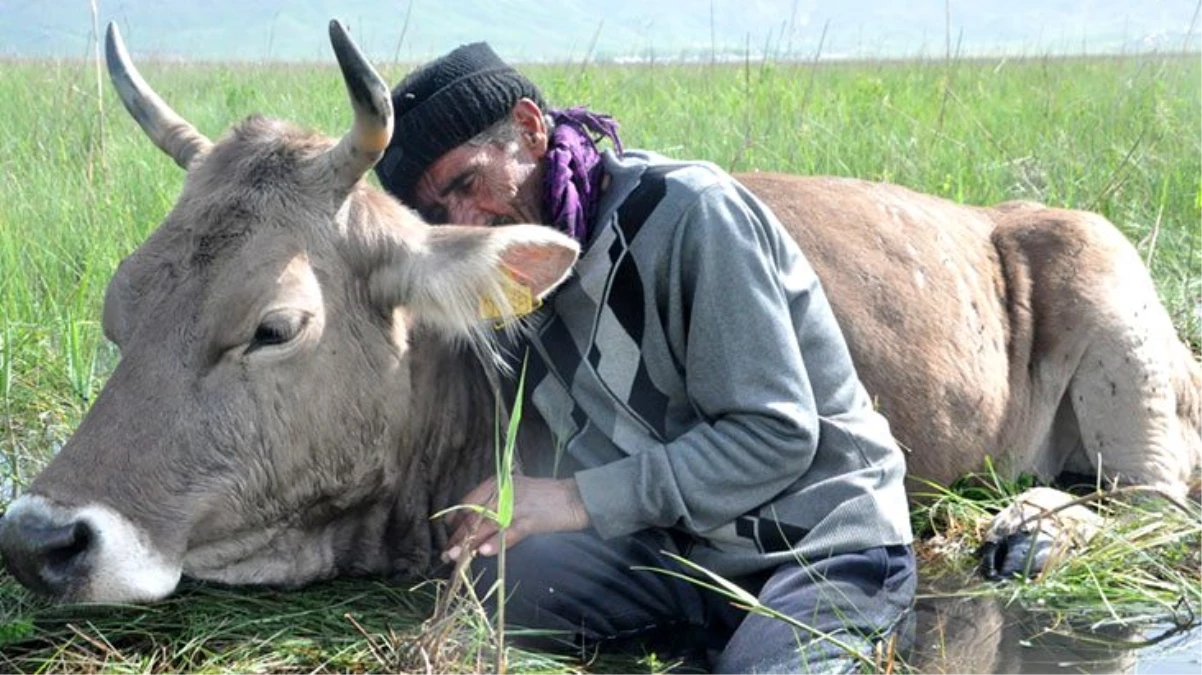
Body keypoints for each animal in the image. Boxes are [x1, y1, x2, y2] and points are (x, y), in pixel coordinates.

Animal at [2, 19, 1202, 598]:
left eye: (273, 326)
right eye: (117, 310)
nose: (35, 538)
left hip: (1118, 322)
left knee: (1154, 499)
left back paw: (1029, 528)